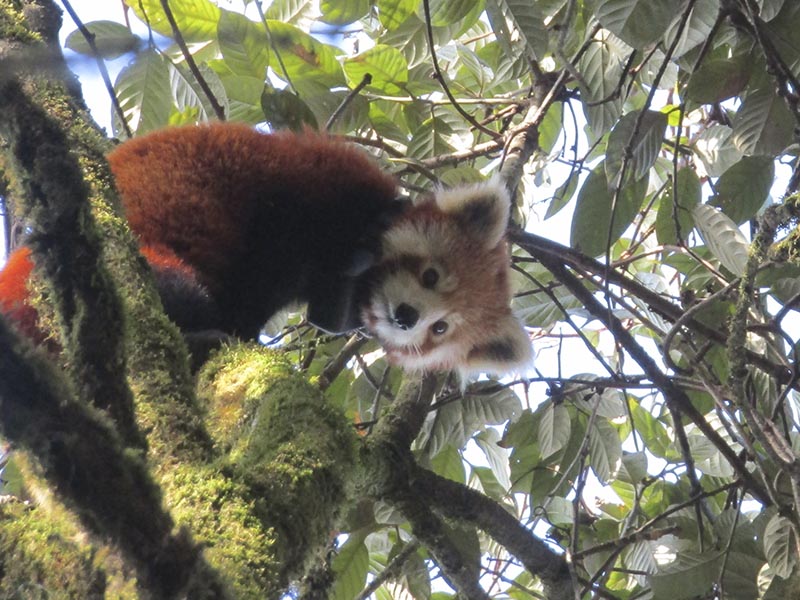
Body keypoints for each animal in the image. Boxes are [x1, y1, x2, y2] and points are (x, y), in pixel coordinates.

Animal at [0, 122, 532, 376]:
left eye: (441, 328)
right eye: (431, 276)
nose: (405, 317)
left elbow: (311, 307)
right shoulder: (319, 183)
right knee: (166, 291)